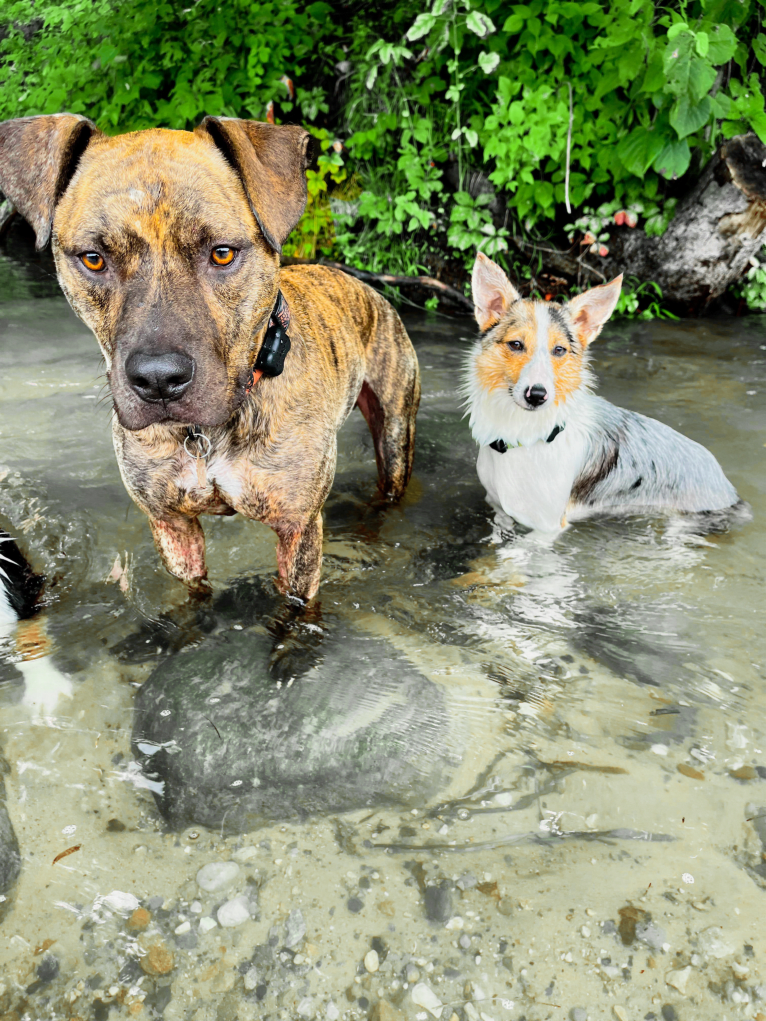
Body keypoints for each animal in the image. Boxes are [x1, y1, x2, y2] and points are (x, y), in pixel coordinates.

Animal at [0, 113, 420, 596]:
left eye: (222, 253)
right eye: (92, 259)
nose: (159, 379)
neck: (207, 435)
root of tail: (364, 287)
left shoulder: (298, 531)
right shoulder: (172, 527)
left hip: (395, 431)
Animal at [465, 253, 739, 535]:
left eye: (559, 350)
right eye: (516, 344)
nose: (537, 395)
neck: (526, 434)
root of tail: (729, 488)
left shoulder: (547, 529)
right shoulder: (499, 510)